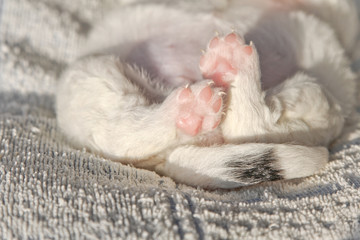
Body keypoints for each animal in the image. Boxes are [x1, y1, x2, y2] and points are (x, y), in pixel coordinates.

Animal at [54, 0, 358, 188]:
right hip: (90, 78)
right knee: (121, 128)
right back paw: (202, 98)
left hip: (320, 93)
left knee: (254, 124)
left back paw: (218, 81)